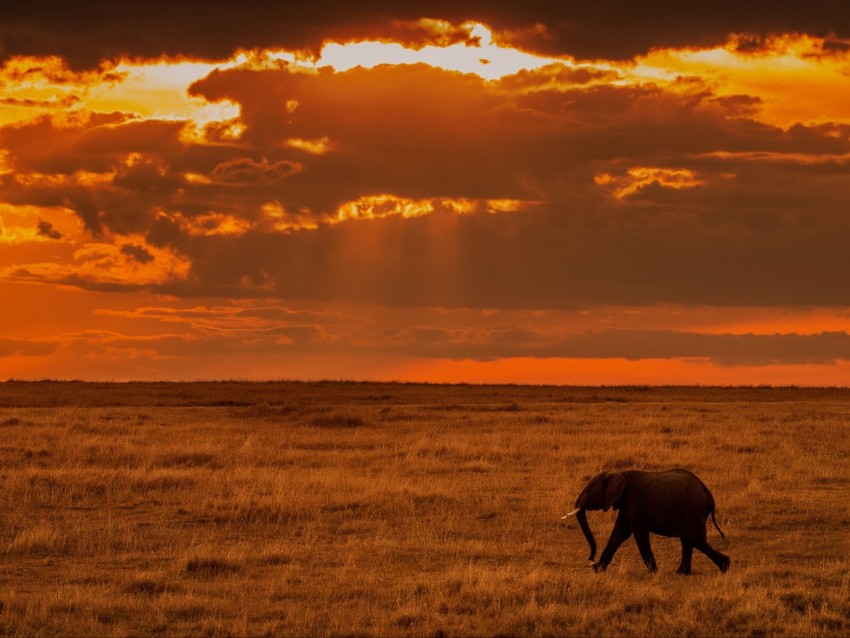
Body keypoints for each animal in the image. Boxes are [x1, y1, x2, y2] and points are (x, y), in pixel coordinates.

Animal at [564, 470, 728, 576]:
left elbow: (638, 533)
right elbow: (619, 534)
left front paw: (652, 573)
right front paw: (598, 569)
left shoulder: (634, 500)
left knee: (693, 539)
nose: (590, 559)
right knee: (689, 541)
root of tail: (710, 497)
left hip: (693, 512)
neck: (618, 473)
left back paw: (725, 566)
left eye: (590, 492)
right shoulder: (626, 504)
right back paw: (681, 573)